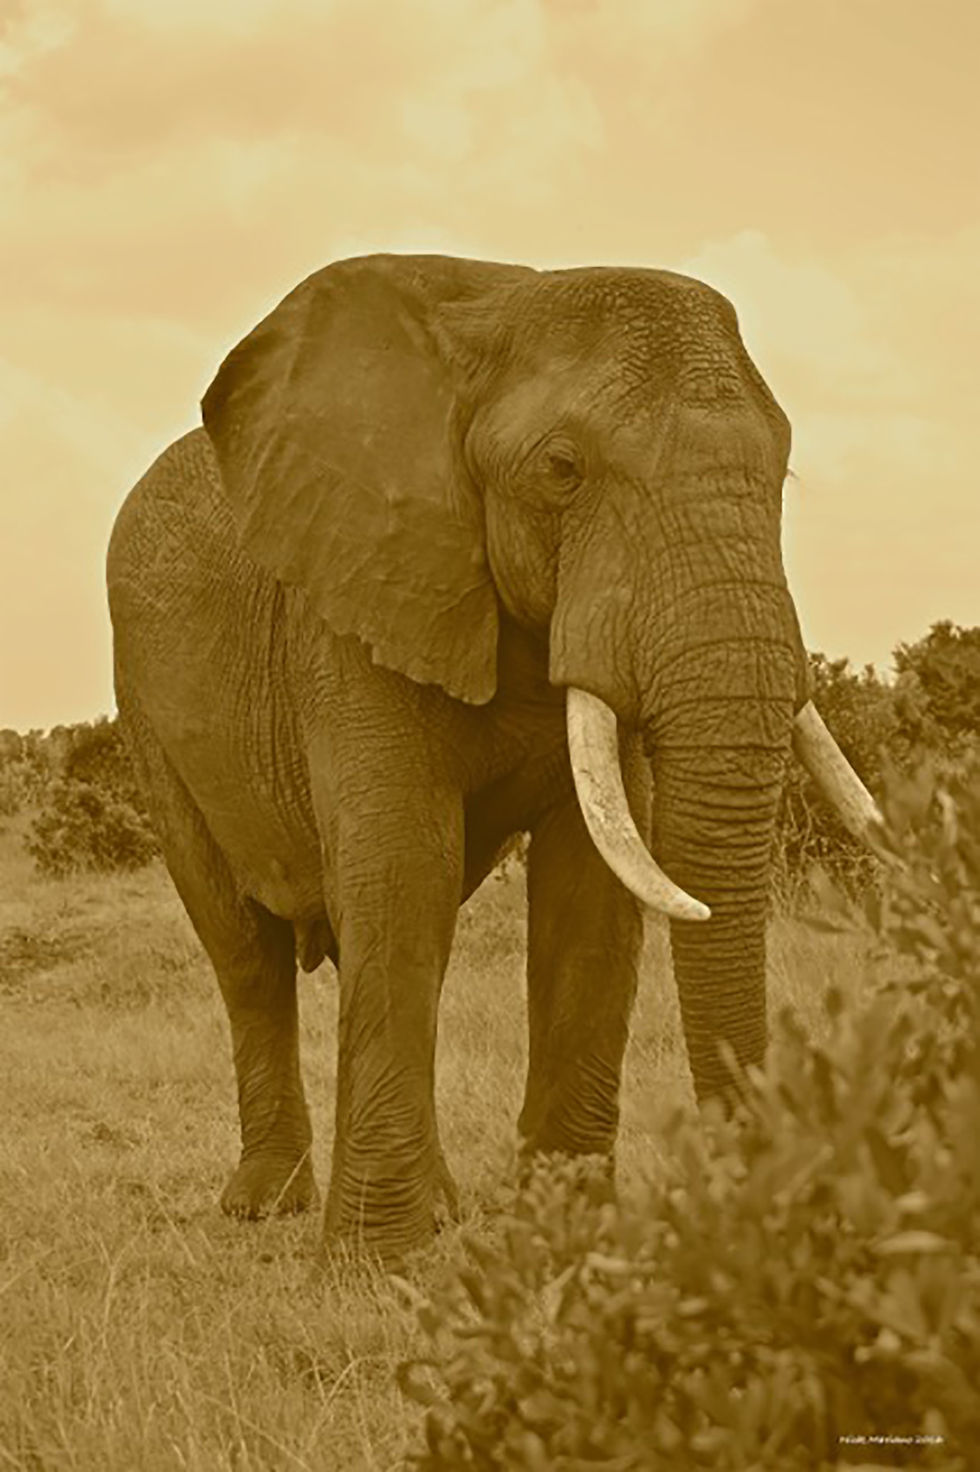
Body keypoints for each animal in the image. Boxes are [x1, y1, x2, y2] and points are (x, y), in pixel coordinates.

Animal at [106, 253, 879, 1263]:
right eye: (561, 470)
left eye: (781, 470)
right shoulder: (356, 596)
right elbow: (404, 869)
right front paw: (371, 1265)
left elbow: (590, 894)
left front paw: (561, 1241)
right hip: (147, 709)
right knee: (247, 954)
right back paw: (265, 1206)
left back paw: (433, 1206)